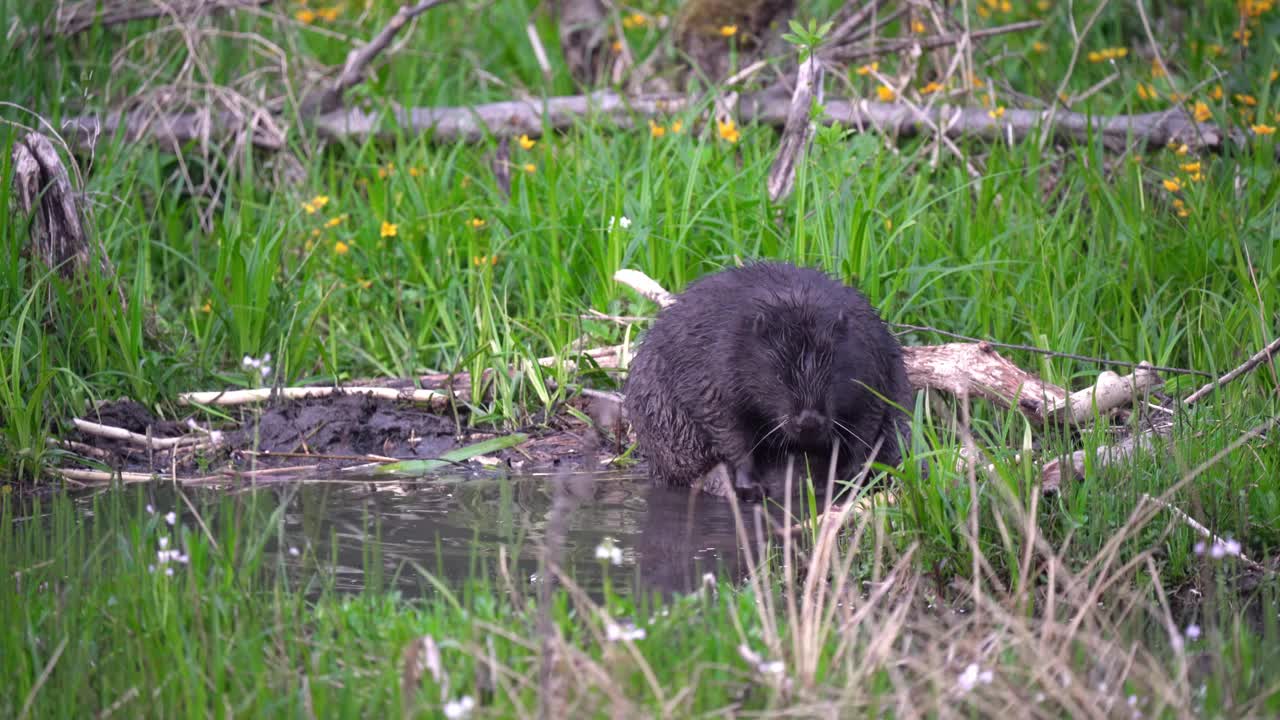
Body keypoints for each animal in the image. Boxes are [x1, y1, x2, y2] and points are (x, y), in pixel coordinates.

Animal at [622, 258, 911, 499]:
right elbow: (727, 427)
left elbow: (868, 422)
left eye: (831, 374)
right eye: (780, 376)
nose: (809, 421)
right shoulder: (717, 370)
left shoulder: (873, 361)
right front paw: (750, 486)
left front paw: (851, 477)